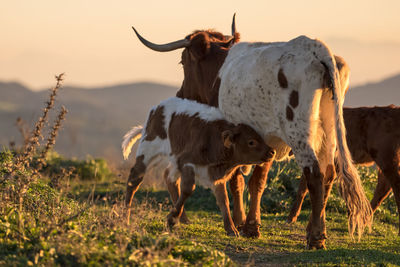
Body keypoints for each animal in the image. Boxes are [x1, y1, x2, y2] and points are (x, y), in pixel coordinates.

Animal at [122, 97, 276, 237]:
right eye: (251, 142)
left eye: (261, 137)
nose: (272, 152)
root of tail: (158, 106)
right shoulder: (187, 162)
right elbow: (188, 189)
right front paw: (171, 219)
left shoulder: (216, 176)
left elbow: (224, 200)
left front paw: (231, 229)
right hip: (148, 148)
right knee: (134, 180)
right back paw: (125, 217)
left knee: (169, 177)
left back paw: (182, 218)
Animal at [217, 36, 374, 250]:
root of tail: (314, 46)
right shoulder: (266, 141)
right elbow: (257, 181)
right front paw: (250, 226)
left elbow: (239, 180)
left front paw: (243, 225)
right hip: (328, 132)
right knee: (328, 173)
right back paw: (313, 230)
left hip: (298, 131)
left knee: (314, 173)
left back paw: (316, 237)